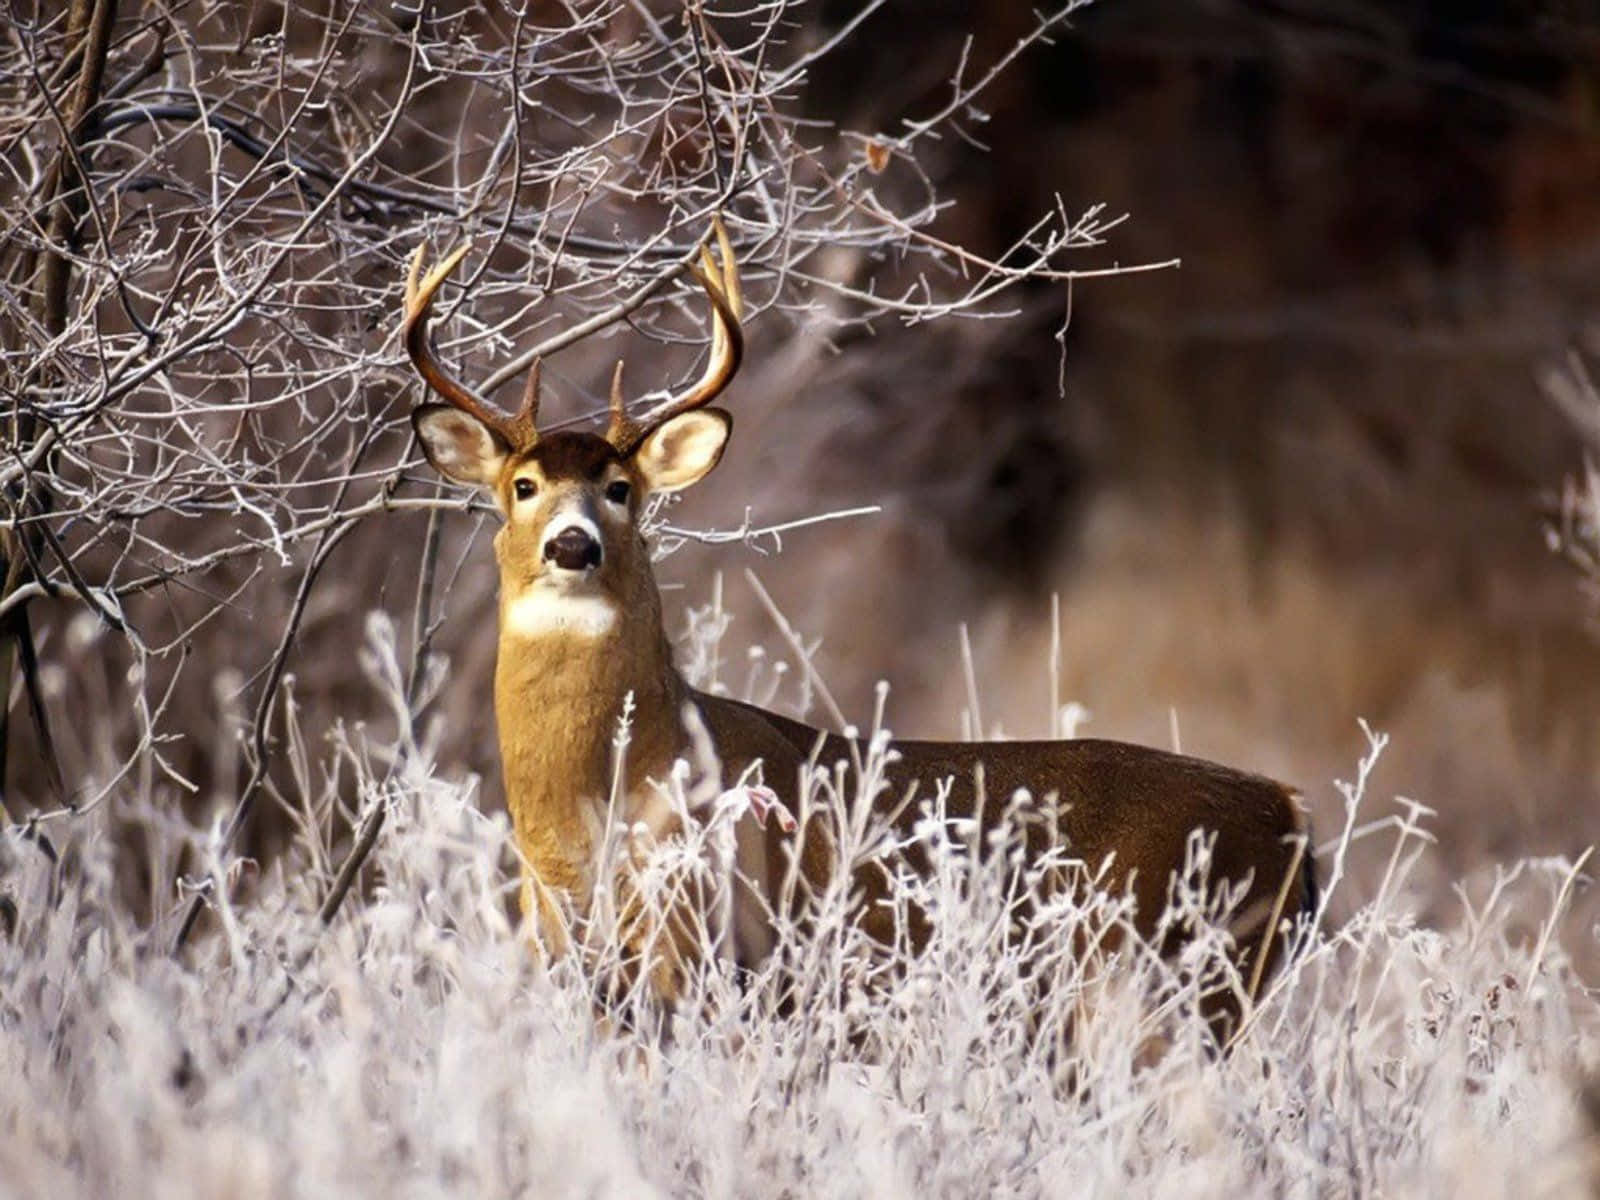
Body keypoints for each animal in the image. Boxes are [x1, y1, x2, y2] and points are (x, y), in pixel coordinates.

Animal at [396, 220, 1312, 1049]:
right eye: (522, 486)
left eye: (621, 489)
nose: (572, 544)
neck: (589, 816)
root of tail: (1290, 813)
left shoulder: (708, 955)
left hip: (1171, 983)